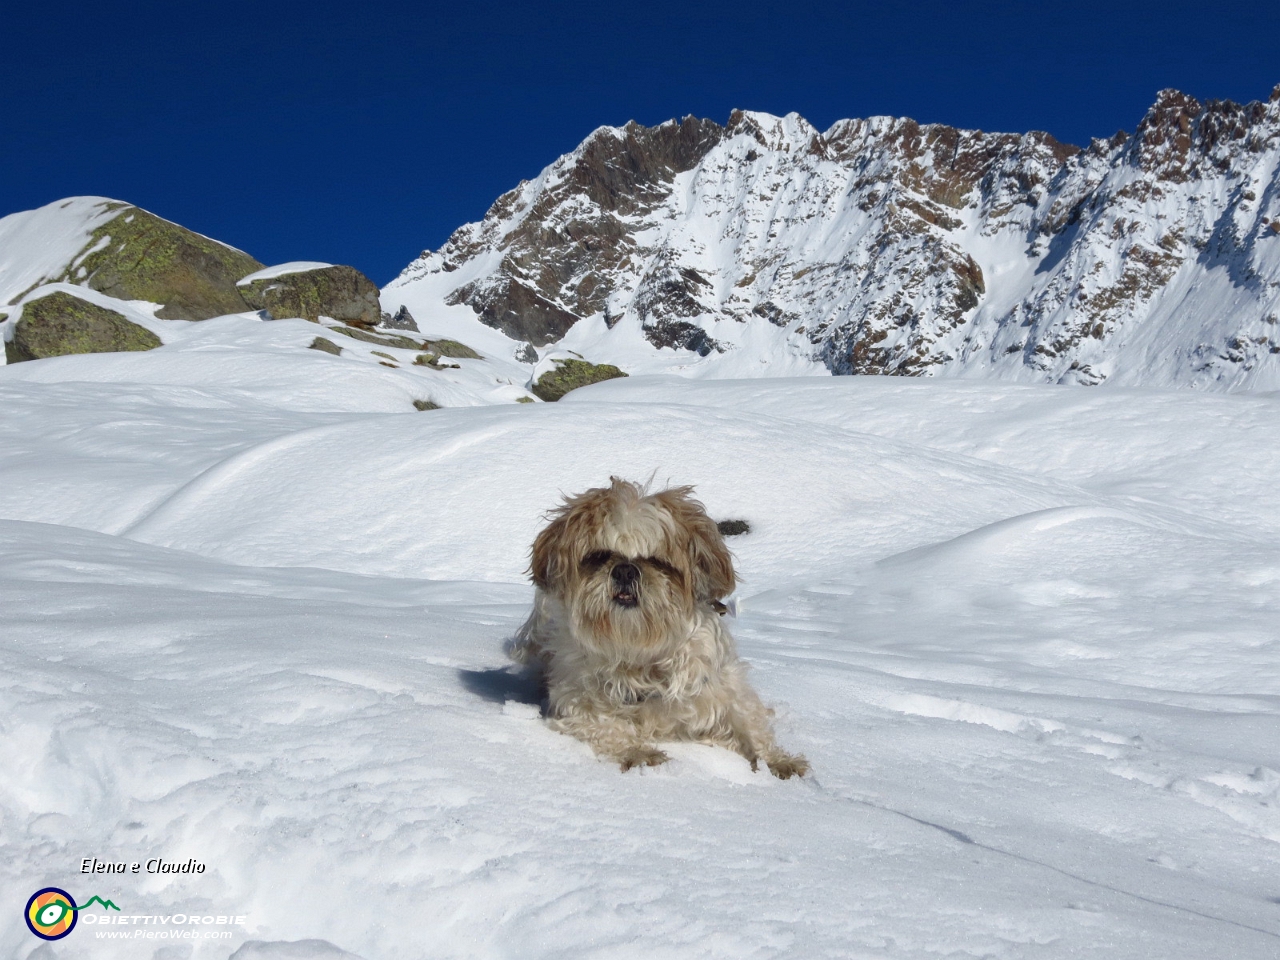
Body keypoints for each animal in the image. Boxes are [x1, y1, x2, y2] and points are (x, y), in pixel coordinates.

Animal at [509, 476, 808, 783]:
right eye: (600, 556)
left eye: (656, 560)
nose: (625, 570)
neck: (640, 652)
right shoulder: (576, 701)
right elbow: (604, 727)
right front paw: (638, 752)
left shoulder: (720, 689)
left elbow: (750, 724)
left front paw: (778, 760)